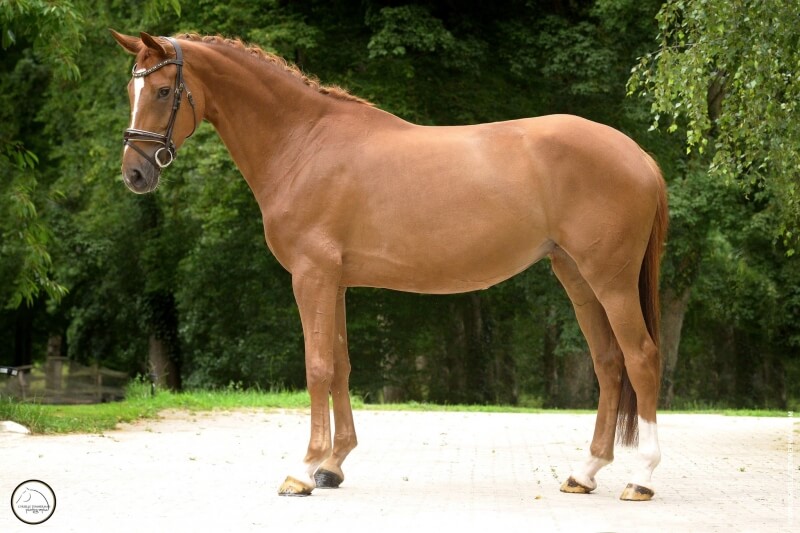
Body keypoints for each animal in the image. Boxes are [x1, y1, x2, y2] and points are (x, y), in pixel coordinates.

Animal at [111, 31, 668, 501]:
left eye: (163, 90)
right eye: (131, 88)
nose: (134, 174)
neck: (303, 143)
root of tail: (638, 155)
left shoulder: (311, 276)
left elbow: (316, 367)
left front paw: (303, 469)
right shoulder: (333, 282)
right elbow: (339, 366)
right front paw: (332, 466)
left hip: (611, 281)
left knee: (640, 357)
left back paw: (640, 478)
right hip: (575, 275)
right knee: (609, 363)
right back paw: (585, 472)